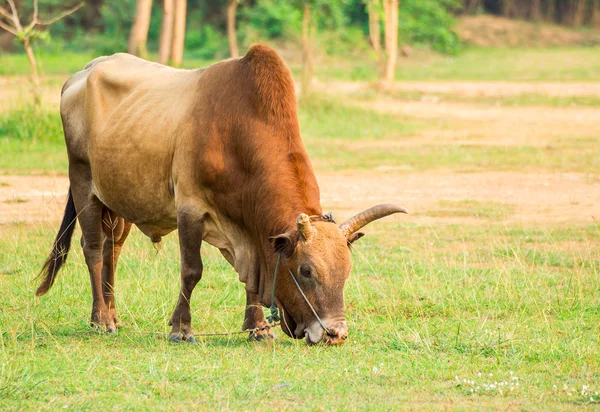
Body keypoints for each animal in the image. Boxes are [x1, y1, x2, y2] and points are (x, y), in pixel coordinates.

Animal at [37, 44, 408, 344]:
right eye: (305, 271)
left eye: (346, 271)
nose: (335, 333)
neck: (235, 133)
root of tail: (82, 73)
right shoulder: (190, 209)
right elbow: (192, 271)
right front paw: (181, 329)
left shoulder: (251, 234)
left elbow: (251, 282)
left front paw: (258, 328)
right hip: (84, 183)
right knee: (93, 250)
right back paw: (101, 320)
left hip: (120, 199)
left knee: (112, 250)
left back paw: (112, 316)